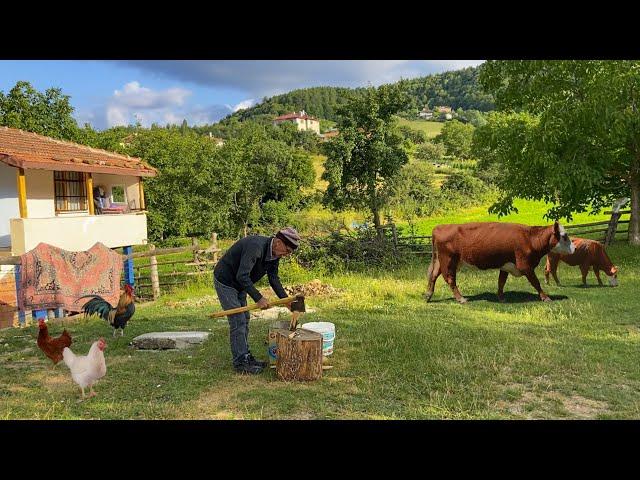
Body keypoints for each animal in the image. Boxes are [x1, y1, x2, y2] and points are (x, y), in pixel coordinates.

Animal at [424, 221, 576, 304]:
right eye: (564, 236)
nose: (574, 248)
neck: (530, 238)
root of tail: (440, 227)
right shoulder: (525, 266)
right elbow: (536, 282)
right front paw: (545, 297)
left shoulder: (505, 265)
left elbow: (501, 282)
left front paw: (501, 297)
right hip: (449, 260)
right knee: (450, 279)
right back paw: (460, 298)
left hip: (441, 261)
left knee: (433, 275)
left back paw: (428, 295)